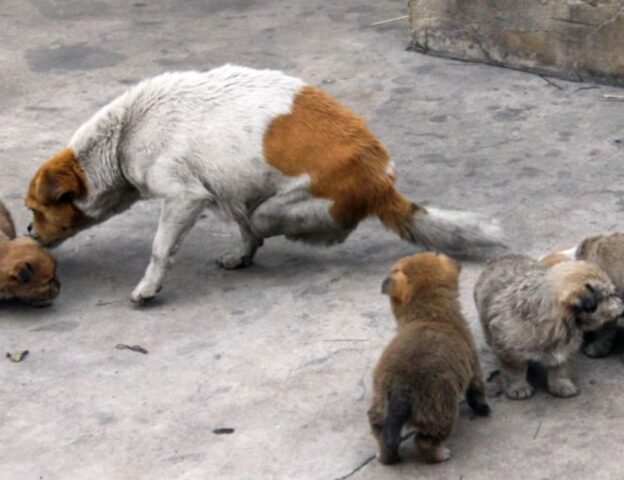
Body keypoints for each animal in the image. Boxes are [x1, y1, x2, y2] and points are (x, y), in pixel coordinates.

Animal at [26, 64, 504, 304]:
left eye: (34, 210)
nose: (28, 232)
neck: (125, 133)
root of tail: (380, 181)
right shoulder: (217, 189)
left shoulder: (183, 197)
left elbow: (160, 249)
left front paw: (149, 287)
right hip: (248, 193)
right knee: (249, 222)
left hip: (285, 207)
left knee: (264, 222)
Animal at [368, 251, 490, 464]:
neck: (431, 314)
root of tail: (401, 387)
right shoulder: (474, 365)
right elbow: (477, 390)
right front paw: (483, 408)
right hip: (439, 411)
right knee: (424, 442)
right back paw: (441, 454)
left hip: (379, 409)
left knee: (384, 440)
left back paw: (384, 457)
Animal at [476, 255, 620, 402]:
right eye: (609, 296)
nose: (621, 302)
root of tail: (504, 256)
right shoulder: (509, 349)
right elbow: (515, 371)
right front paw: (518, 387)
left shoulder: (567, 347)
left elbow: (560, 368)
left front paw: (561, 384)